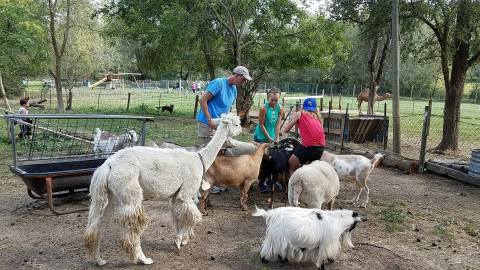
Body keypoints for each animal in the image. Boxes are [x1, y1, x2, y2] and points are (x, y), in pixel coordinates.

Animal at [84, 113, 242, 266]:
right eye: (236, 124)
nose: (241, 130)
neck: (200, 158)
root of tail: (108, 164)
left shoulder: (176, 196)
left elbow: (178, 217)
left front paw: (180, 239)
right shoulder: (186, 193)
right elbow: (193, 217)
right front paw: (182, 240)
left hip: (108, 195)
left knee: (96, 224)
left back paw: (98, 260)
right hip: (129, 189)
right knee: (133, 227)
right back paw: (143, 259)